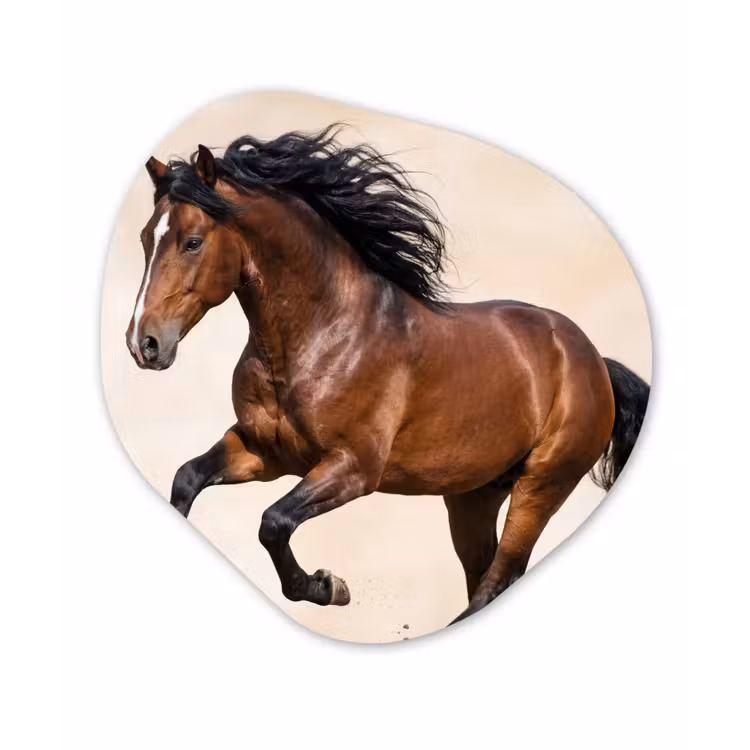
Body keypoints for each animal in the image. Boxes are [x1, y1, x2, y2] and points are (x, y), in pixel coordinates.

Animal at [125, 125, 650, 625]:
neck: (322, 334)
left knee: (498, 578)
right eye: (146, 238)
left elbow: (273, 522)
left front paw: (329, 587)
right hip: (473, 496)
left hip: (542, 485)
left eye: (193, 242)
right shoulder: (263, 451)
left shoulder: (354, 468)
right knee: (485, 575)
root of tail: (594, 360)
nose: (143, 344)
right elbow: (187, 479)